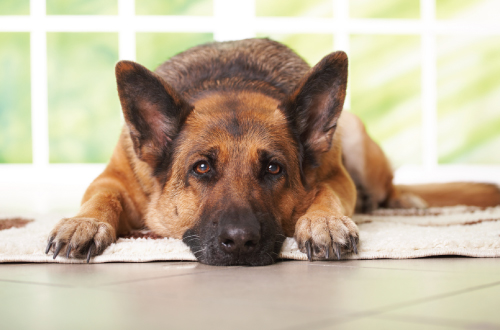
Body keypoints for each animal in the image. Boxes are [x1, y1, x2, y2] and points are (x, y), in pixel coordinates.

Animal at [44, 38, 500, 266]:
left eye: (273, 169)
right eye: (202, 167)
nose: (241, 242)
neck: (229, 80)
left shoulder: (335, 176)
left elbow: (326, 194)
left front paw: (323, 222)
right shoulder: (113, 176)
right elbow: (102, 196)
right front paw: (84, 223)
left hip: (353, 131)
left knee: (388, 189)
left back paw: (406, 201)